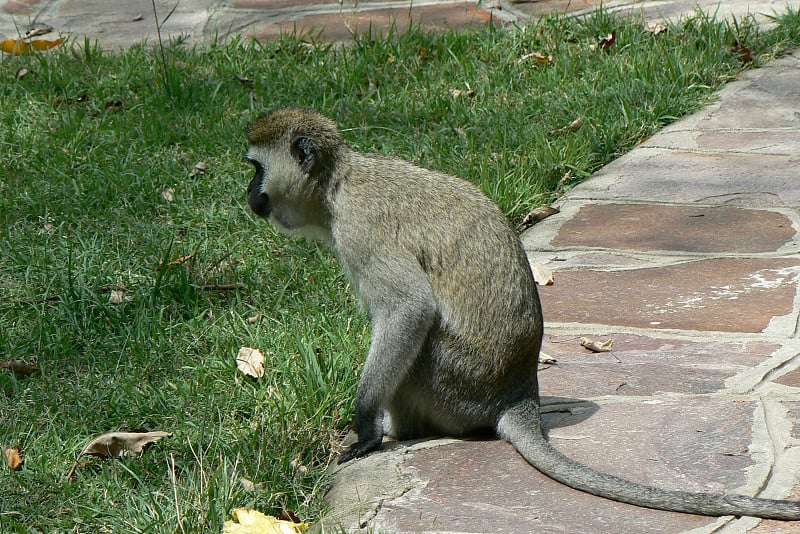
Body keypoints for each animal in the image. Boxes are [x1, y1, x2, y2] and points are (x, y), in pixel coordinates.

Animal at [245, 109, 800, 524]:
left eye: (255, 169)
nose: (247, 194)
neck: (339, 185)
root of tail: (517, 392)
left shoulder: (362, 231)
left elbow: (409, 309)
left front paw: (364, 427)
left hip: (450, 383)